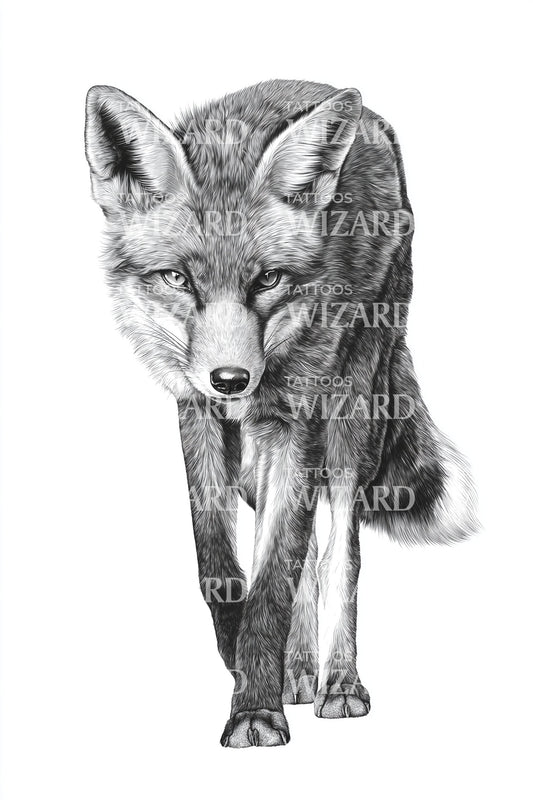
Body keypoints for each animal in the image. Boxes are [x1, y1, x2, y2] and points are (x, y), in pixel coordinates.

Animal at [84, 79, 478, 748]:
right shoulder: (196, 413)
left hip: (348, 421)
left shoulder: (297, 424)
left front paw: (254, 712)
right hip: (252, 462)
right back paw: (296, 672)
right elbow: (220, 566)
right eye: (177, 279)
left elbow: (276, 578)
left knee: (338, 554)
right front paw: (242, 658)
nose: (231, 379)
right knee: (304, 551)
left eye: (268, 279)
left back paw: (337, 683)